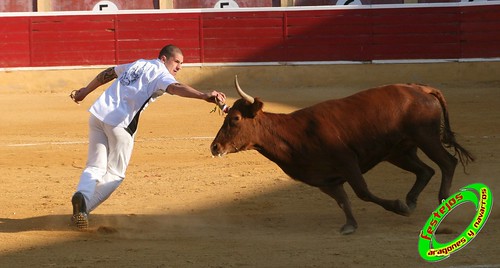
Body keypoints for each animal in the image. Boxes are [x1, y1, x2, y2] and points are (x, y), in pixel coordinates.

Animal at [210, 76, 472, 234]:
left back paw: (442, 202)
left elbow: (363, 193)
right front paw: (350, 225)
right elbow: (342, 200)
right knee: (426, 170)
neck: (294, 133)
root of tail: (420, 88)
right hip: (400, 152)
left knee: (447, 163)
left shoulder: (348, 163)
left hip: (426, 138)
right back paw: (413, 200)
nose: (215, 147)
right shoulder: (325, 179)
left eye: (235, 119)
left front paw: (397, 206)